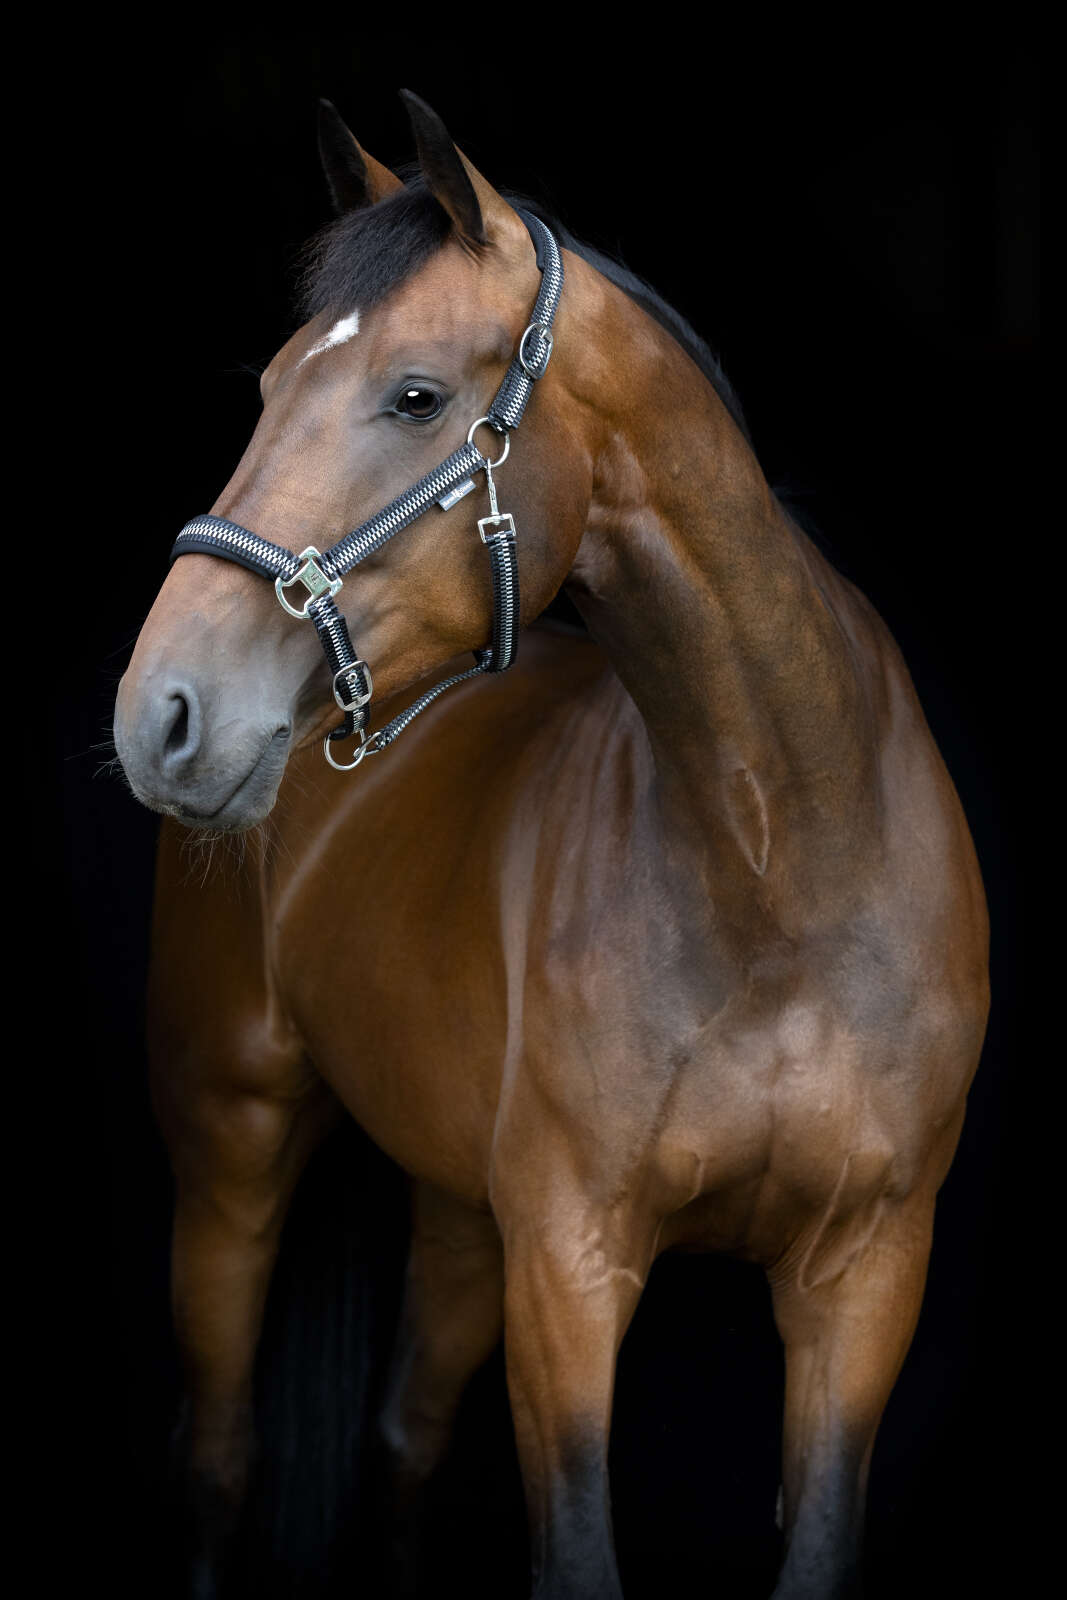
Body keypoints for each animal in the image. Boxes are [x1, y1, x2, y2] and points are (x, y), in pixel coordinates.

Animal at [113, 90, 990, 1599]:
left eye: (414, 395)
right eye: (269, 382)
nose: (160, 712)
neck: (781, 869)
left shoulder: (864, 1275)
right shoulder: (571, 1269)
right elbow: (574, 1552)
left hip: (460, 1215)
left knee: (401, 1442)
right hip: (232, 1141)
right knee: (218, 1461)